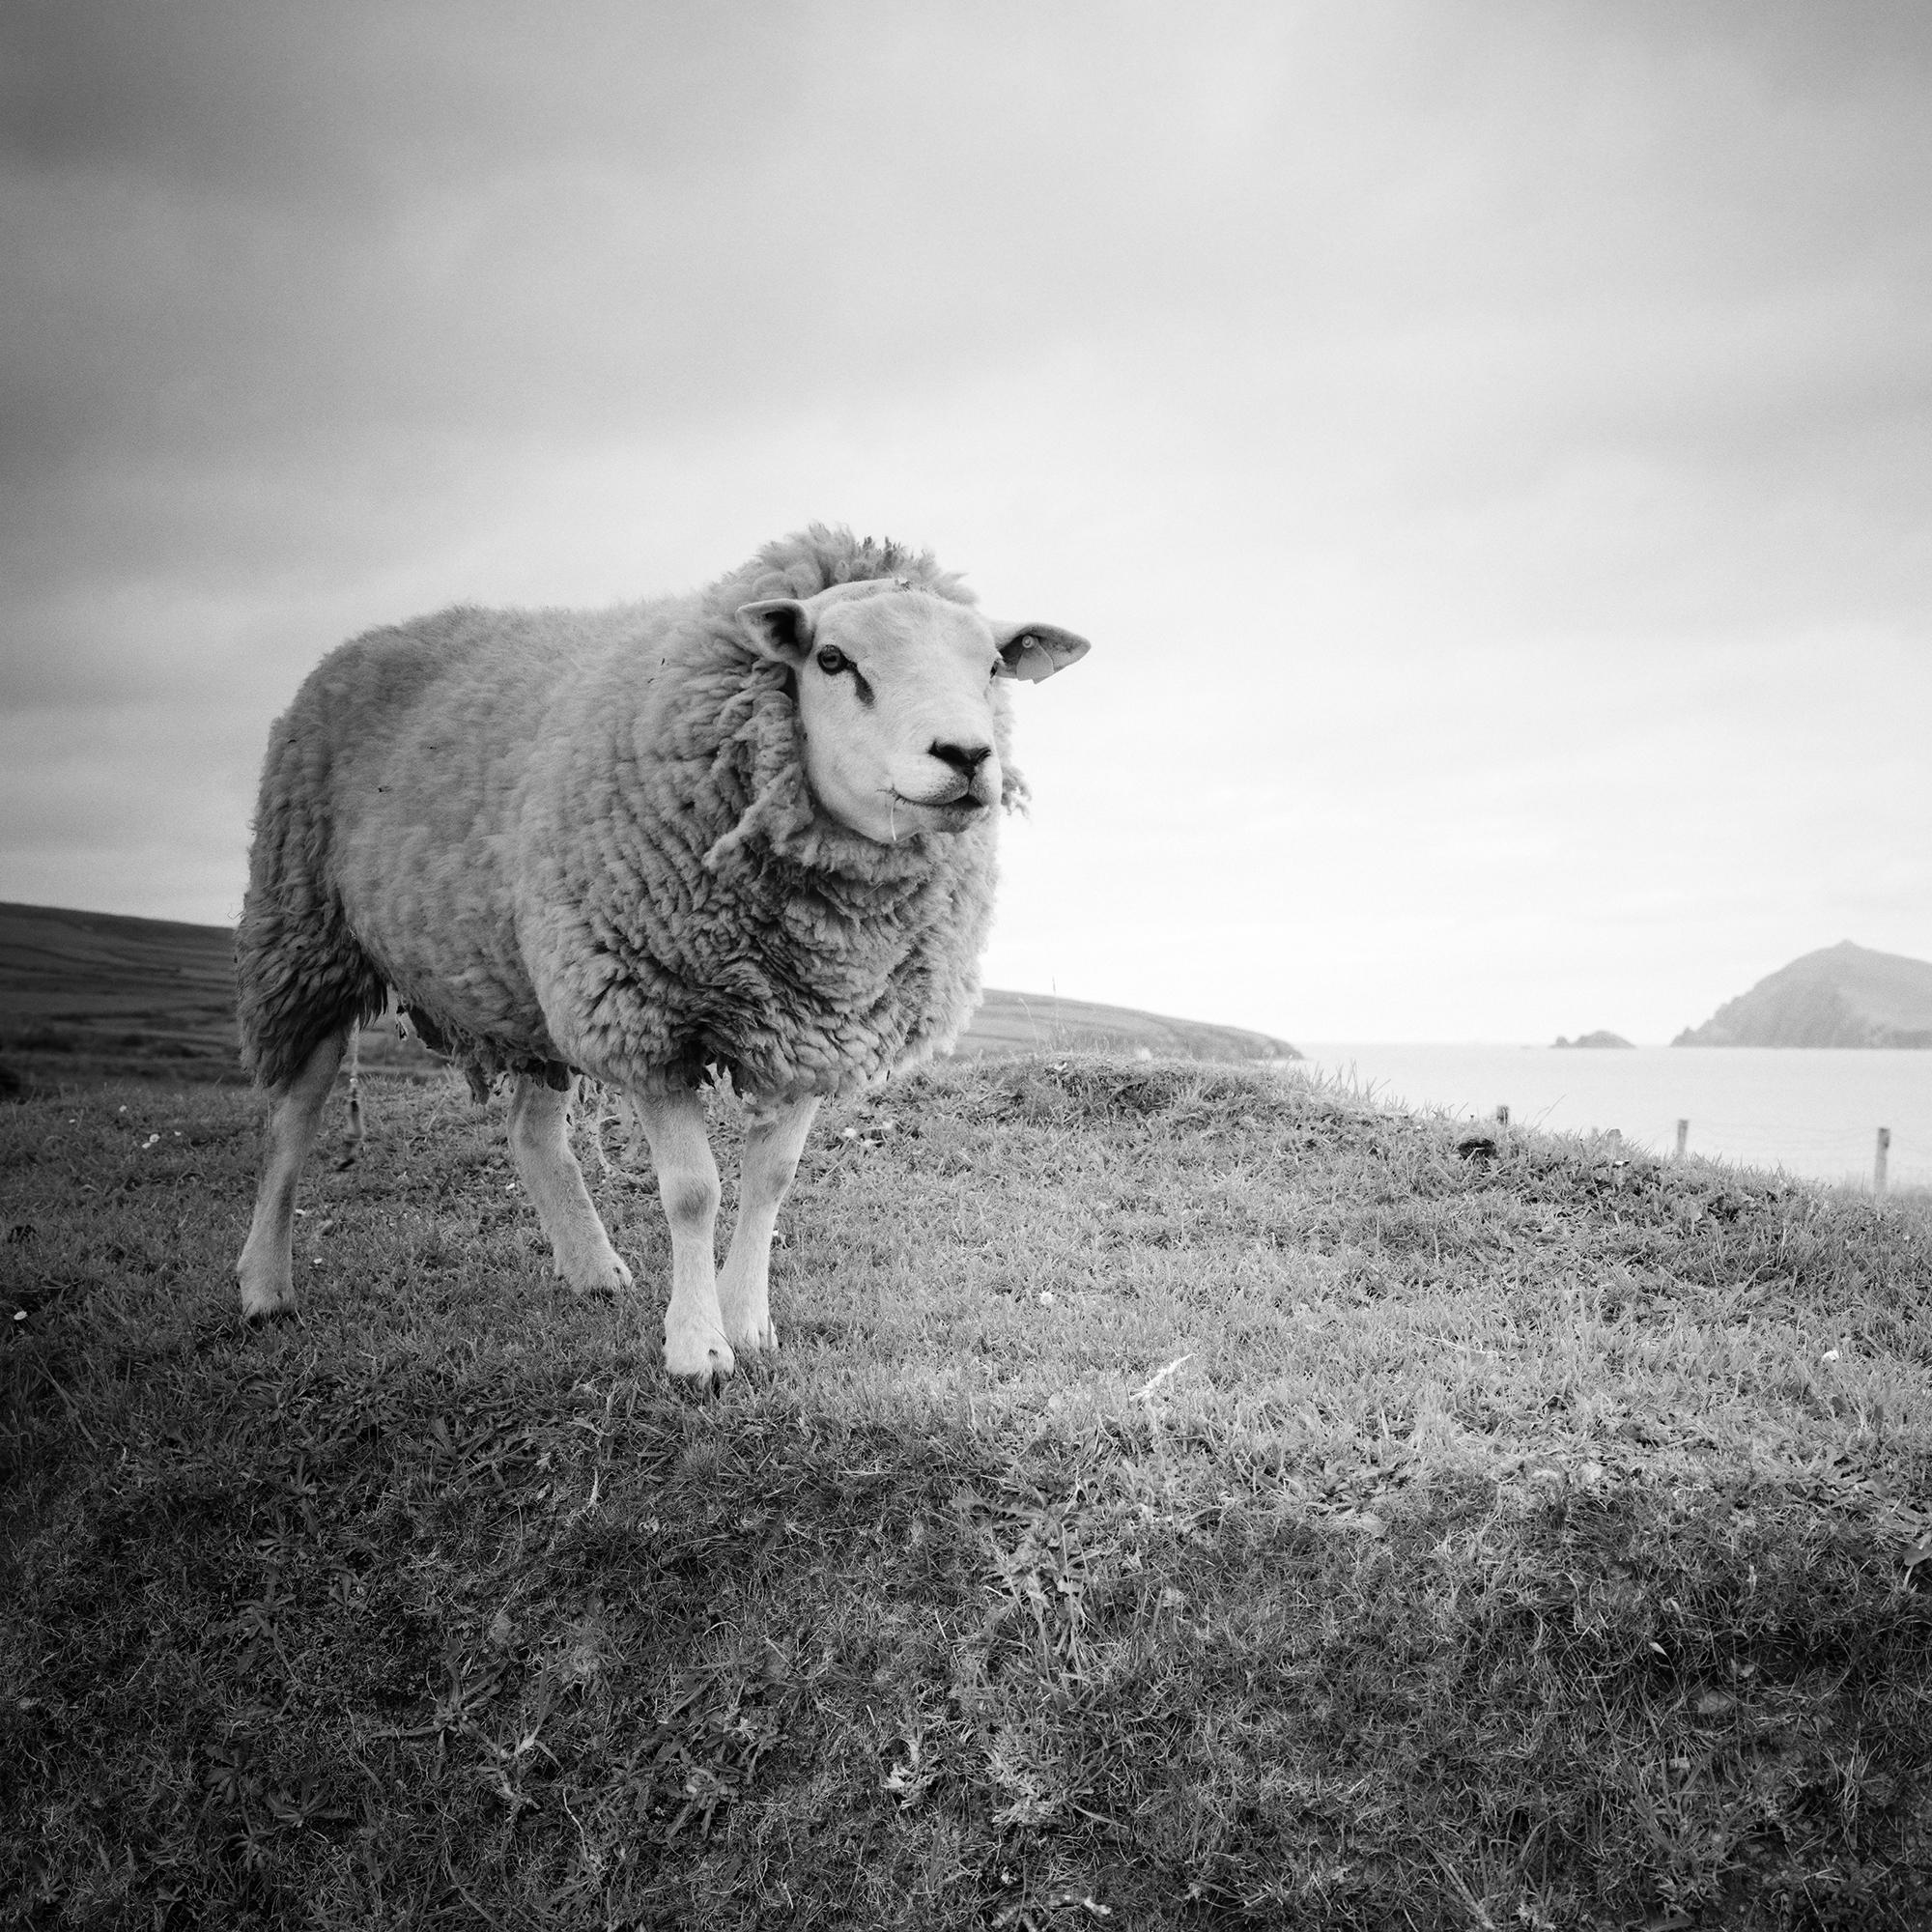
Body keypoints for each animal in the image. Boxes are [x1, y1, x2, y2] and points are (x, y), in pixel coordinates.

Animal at [233, 526, 1089, 1383]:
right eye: (833, 659)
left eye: (991, 666)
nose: (967, 756)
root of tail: (361, 641)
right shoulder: (645, 1012)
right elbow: (692, 1191)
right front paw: (698, 1348)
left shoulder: (813, 1023)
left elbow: (772, 1179)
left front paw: (749, 1323)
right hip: (307, 933)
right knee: (290, 1122)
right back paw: (264, 1288)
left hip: (535, 980)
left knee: (532, 1135)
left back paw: (591, 1269)